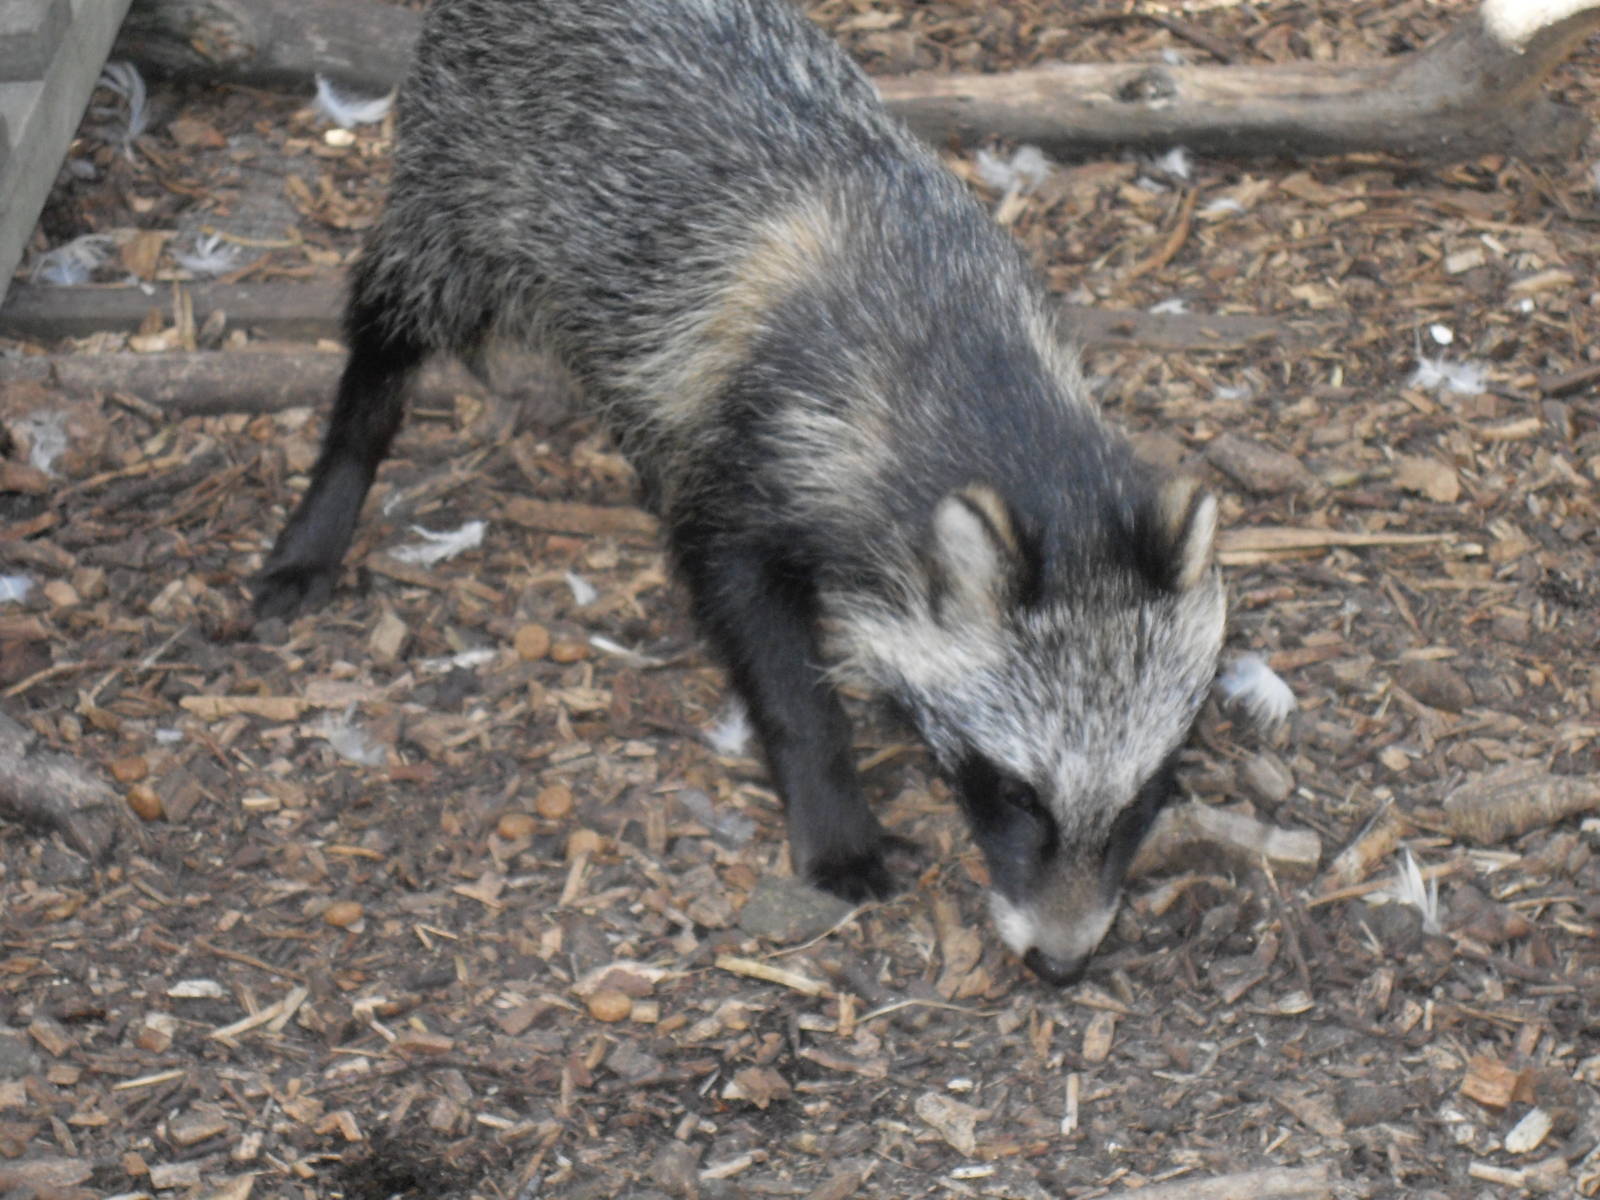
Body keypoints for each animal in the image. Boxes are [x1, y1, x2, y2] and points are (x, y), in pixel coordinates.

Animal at [254, 0, 1227, 985]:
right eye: (1019, 792)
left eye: (1144, 795)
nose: (1060, 964)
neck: (988, 388)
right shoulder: (754, 451)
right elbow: (764, 643)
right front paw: (833, 810)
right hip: (462, 176)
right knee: (391, 319)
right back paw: (332, 492)